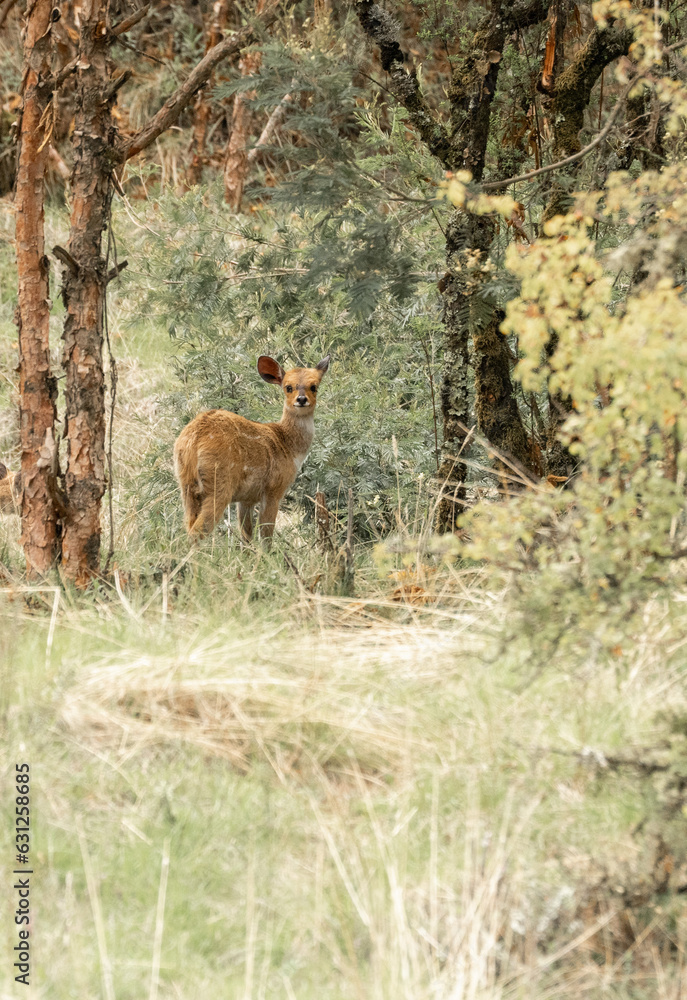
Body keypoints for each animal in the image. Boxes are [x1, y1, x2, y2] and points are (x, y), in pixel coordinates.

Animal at [174, 354, 330, 542]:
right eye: (288, 387)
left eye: (314, 386)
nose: (301, 399)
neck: (288, 445)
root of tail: (194, 439)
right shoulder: (273, 489)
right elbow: (266, 535)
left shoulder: (246, 499)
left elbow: (246, 535)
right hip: (219, 483)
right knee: (197, 531)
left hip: (186, 485)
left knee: (188, 526)